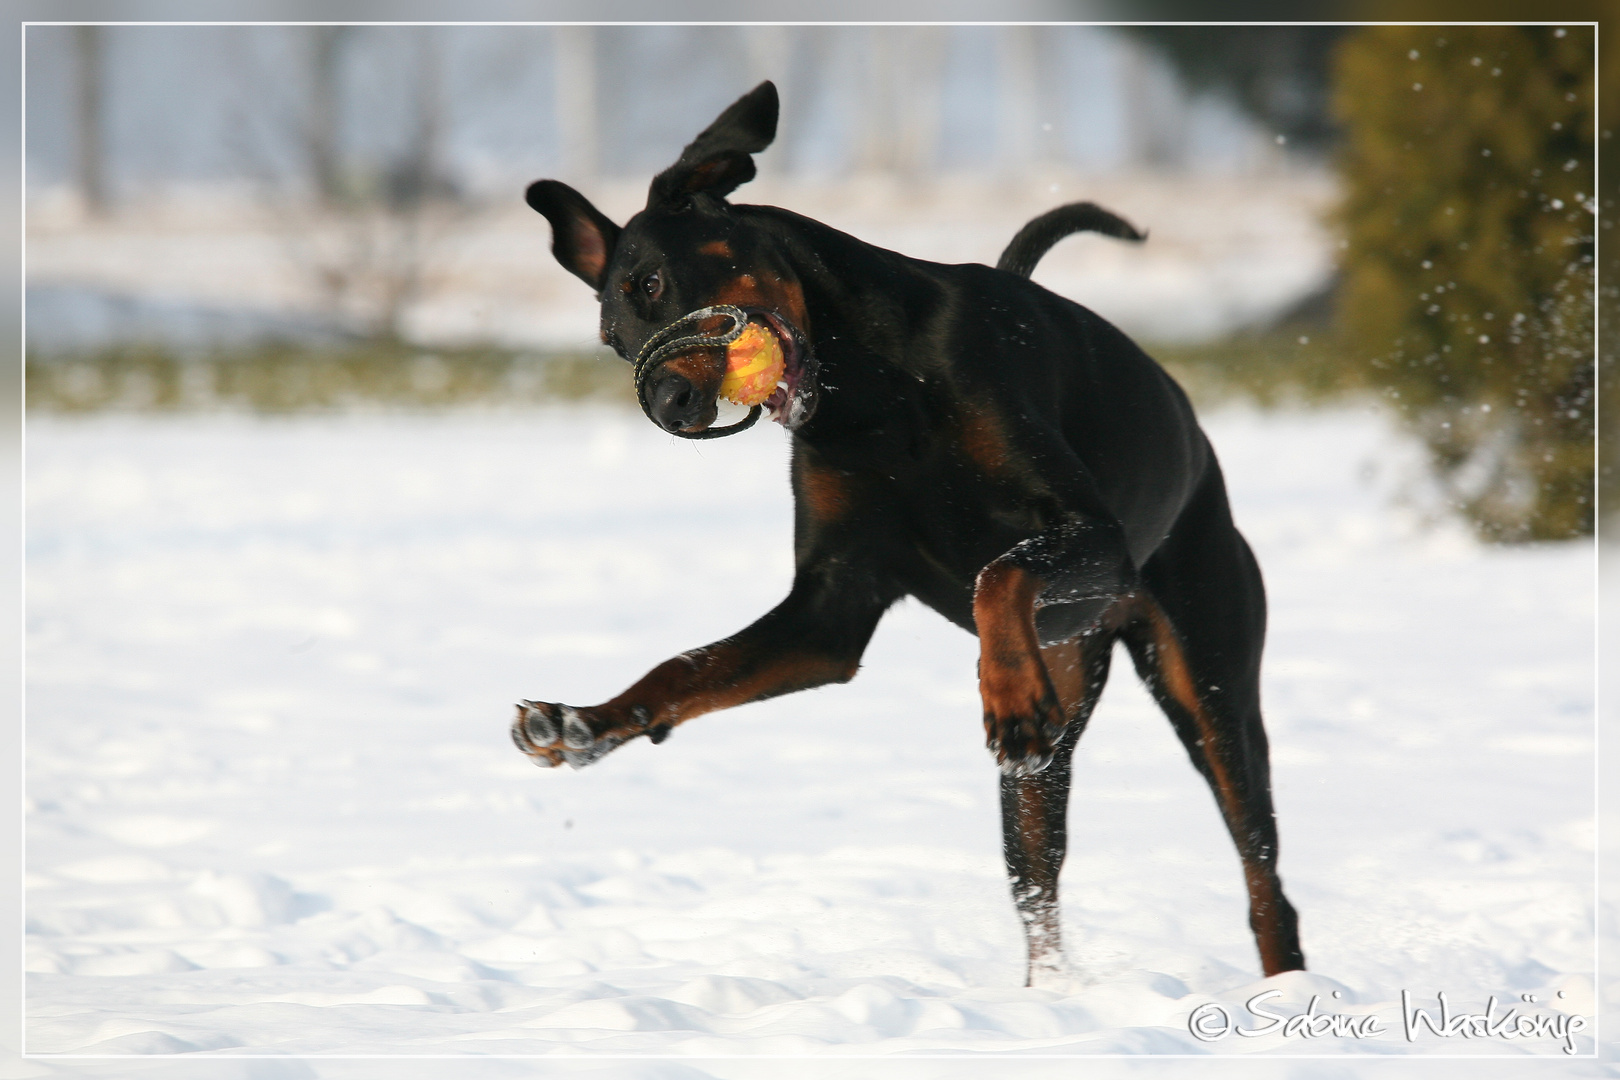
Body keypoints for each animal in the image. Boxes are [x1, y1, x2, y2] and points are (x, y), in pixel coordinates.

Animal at [515, 80, 1302, 984]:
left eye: (651, 282)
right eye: (613, 339)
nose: (667, 407)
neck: (872, 391)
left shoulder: (1093, 532)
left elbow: (1000, 571)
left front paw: (1005, 689)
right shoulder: (831, 609)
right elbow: (686, 668)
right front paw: (581, 722)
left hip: (1208, 685)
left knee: (1262, 876)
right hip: (1054, 726)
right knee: (1038, 883)